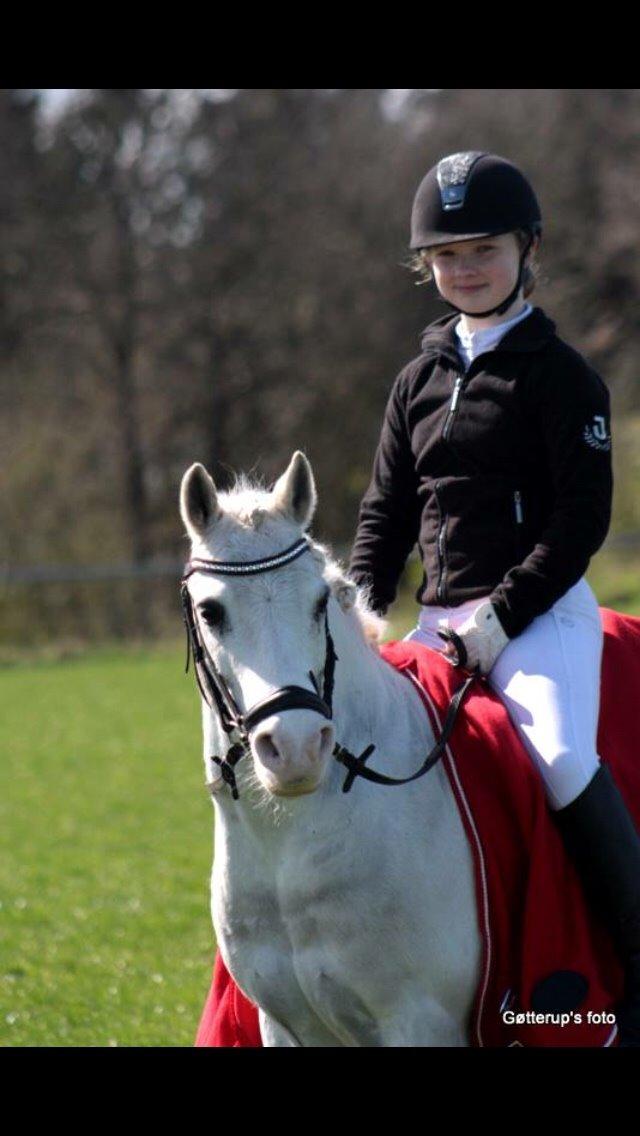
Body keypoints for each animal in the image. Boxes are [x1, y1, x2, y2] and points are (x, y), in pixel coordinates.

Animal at [179, 450, 482, 1047]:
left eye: (321, 601)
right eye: (210, 613)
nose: (295, 748)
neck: (289, 846)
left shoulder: (419, 1020)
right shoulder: (286, 1024)